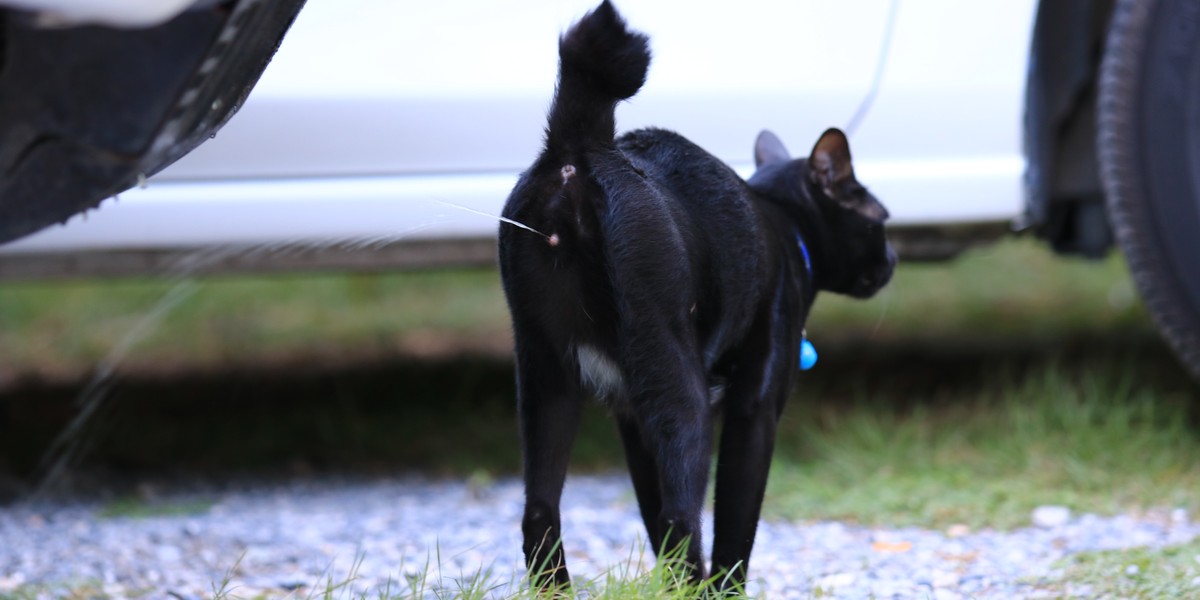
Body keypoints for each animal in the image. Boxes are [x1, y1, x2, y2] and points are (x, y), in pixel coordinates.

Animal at [494, 1, 892, 590]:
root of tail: (579, 147)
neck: (785, 222)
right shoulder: (755, 408)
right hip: (679, 382)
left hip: (546, 375)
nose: (893, 259)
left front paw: (680, 588)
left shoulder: (631, 415)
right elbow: (734, 518)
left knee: (541, 510)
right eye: (881, 221)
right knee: (683, 514)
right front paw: (719, 590)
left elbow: (651, 510)